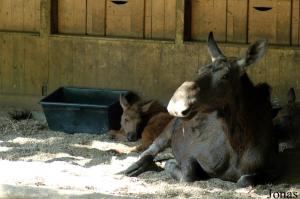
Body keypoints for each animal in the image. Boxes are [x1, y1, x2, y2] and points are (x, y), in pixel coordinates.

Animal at [122, 32, 278, 187]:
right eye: (200, 70)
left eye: (225, 75)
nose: (175, 105)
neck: (239, 145)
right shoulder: (191, 153)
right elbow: (188, 174)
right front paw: (170, 164)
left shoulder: (272, 170)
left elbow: (244, 180)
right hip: (167, 132)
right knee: (148, 151)